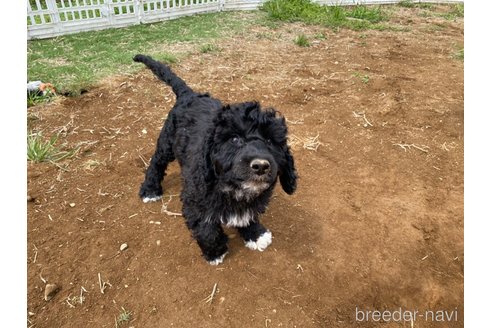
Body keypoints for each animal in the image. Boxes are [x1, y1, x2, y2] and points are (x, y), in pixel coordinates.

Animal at [133, 53, 298, 264]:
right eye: (235, 139)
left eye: (270, 141)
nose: (261, 166)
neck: (233, 188)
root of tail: (190, 94)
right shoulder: (195, 201)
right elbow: (206, 228)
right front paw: (215, 252)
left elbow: (249, 213)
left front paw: (255, 234)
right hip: (167, 141)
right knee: (157, 162)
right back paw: (150, 189)